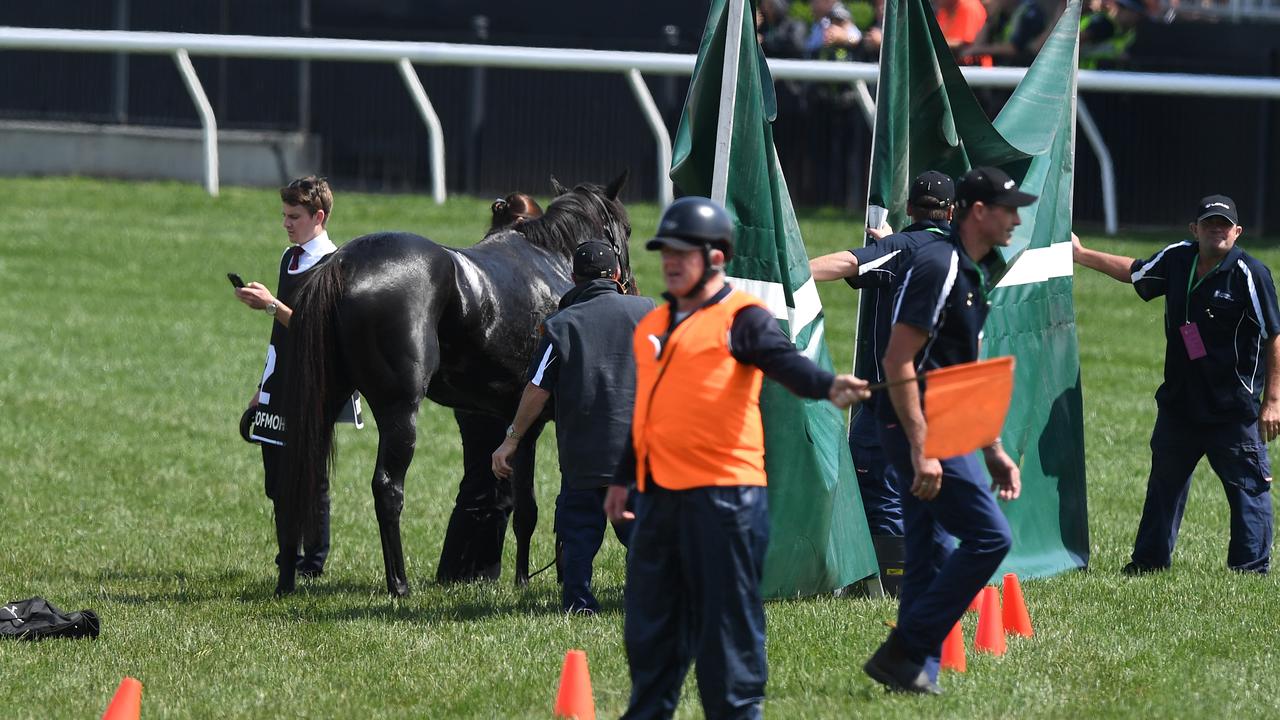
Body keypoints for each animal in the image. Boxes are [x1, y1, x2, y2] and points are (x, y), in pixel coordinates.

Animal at [284, 172, 634, 594]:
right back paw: (399, 584)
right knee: (387, 488)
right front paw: (530, 580)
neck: (552, 261)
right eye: (627, 229)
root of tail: (343, 264)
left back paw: (287, 579)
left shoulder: (510, 419)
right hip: (399, 410)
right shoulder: (536, 422)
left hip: (323, 402)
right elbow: (537, 507)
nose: (630, 285)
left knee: (301, 477)